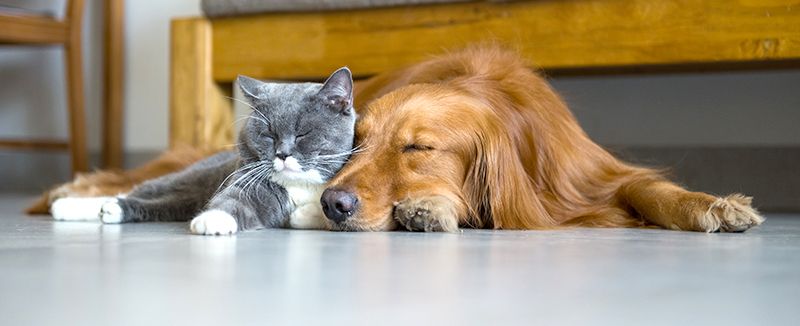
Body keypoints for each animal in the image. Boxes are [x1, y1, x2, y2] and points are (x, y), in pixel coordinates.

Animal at [94, 68, 356, 234]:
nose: (282, 154)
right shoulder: (249, 183)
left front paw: (304, 214)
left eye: (303, 134)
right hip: (190, 178)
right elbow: (234, 200)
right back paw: (94, 206)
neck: (299, 185)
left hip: (184, 200)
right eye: (268, 135)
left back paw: (110, 209)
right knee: (144, 189)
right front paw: (213, 218)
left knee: (163, 204)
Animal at [318, 47, 764, 233]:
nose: (331, 203)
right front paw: (427, 206)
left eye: (418, 148)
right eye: (355, 142)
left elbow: (648, 187)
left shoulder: (592, 174)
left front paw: (714, 205)